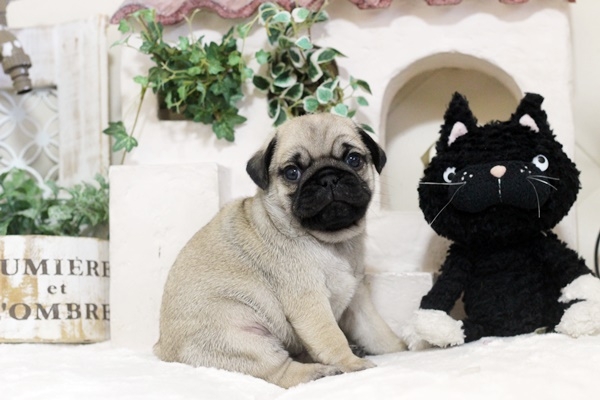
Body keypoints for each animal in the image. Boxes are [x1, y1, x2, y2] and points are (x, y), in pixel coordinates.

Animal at [154, 114, 406, 388]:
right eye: (292, 172)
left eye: (353, 159)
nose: (328, 178)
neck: (332, 242)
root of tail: (162, 351)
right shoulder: (309, 300)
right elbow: (331, 336)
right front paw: (351, 363)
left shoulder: (357, 298)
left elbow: (377, 331)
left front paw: (403, 348)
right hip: (243, 334)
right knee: (279, 372)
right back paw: (318, 372)